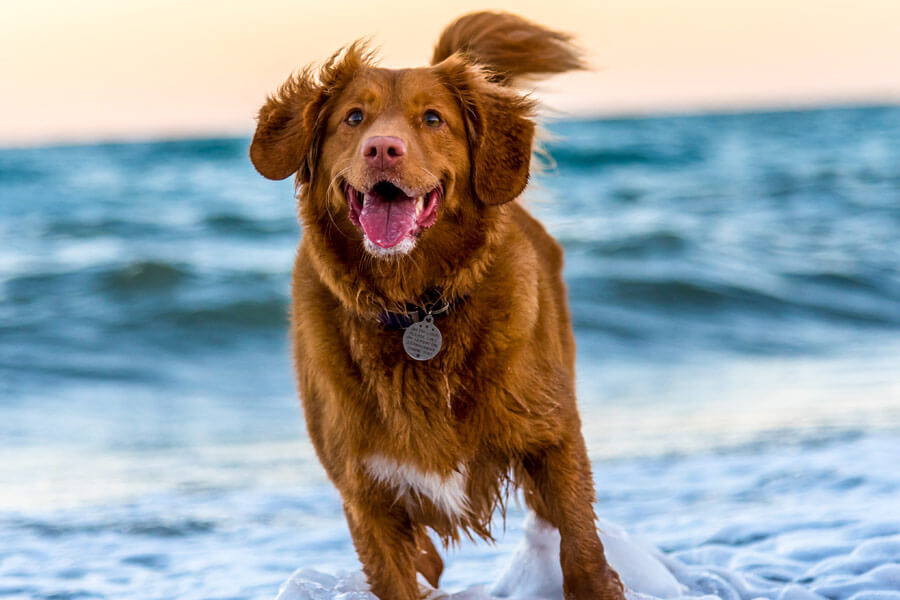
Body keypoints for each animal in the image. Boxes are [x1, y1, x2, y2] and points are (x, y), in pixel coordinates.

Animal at [246, 11, 624, 600]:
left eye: (432, 119)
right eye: (354, 118)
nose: (383, 148)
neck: (416, 305)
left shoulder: (553, 440)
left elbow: (581, 551)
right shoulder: (366, 494)